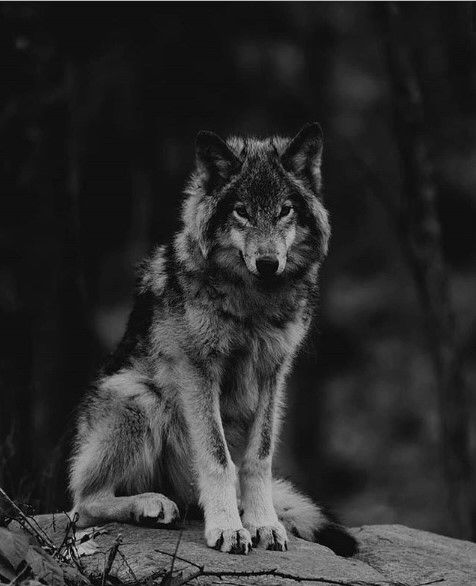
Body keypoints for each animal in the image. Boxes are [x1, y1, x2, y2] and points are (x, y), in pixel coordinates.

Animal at [68, 124, 356, 556]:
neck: (253, 300)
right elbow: (218, 457)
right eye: (241, 211)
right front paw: (228, 527)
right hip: (140, 396)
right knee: (81, 505)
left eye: (285, 210)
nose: (268, 263)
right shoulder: (198, 369)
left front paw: (263, 523)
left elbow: (258, 458)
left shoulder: (273, 373)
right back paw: (151, 504)